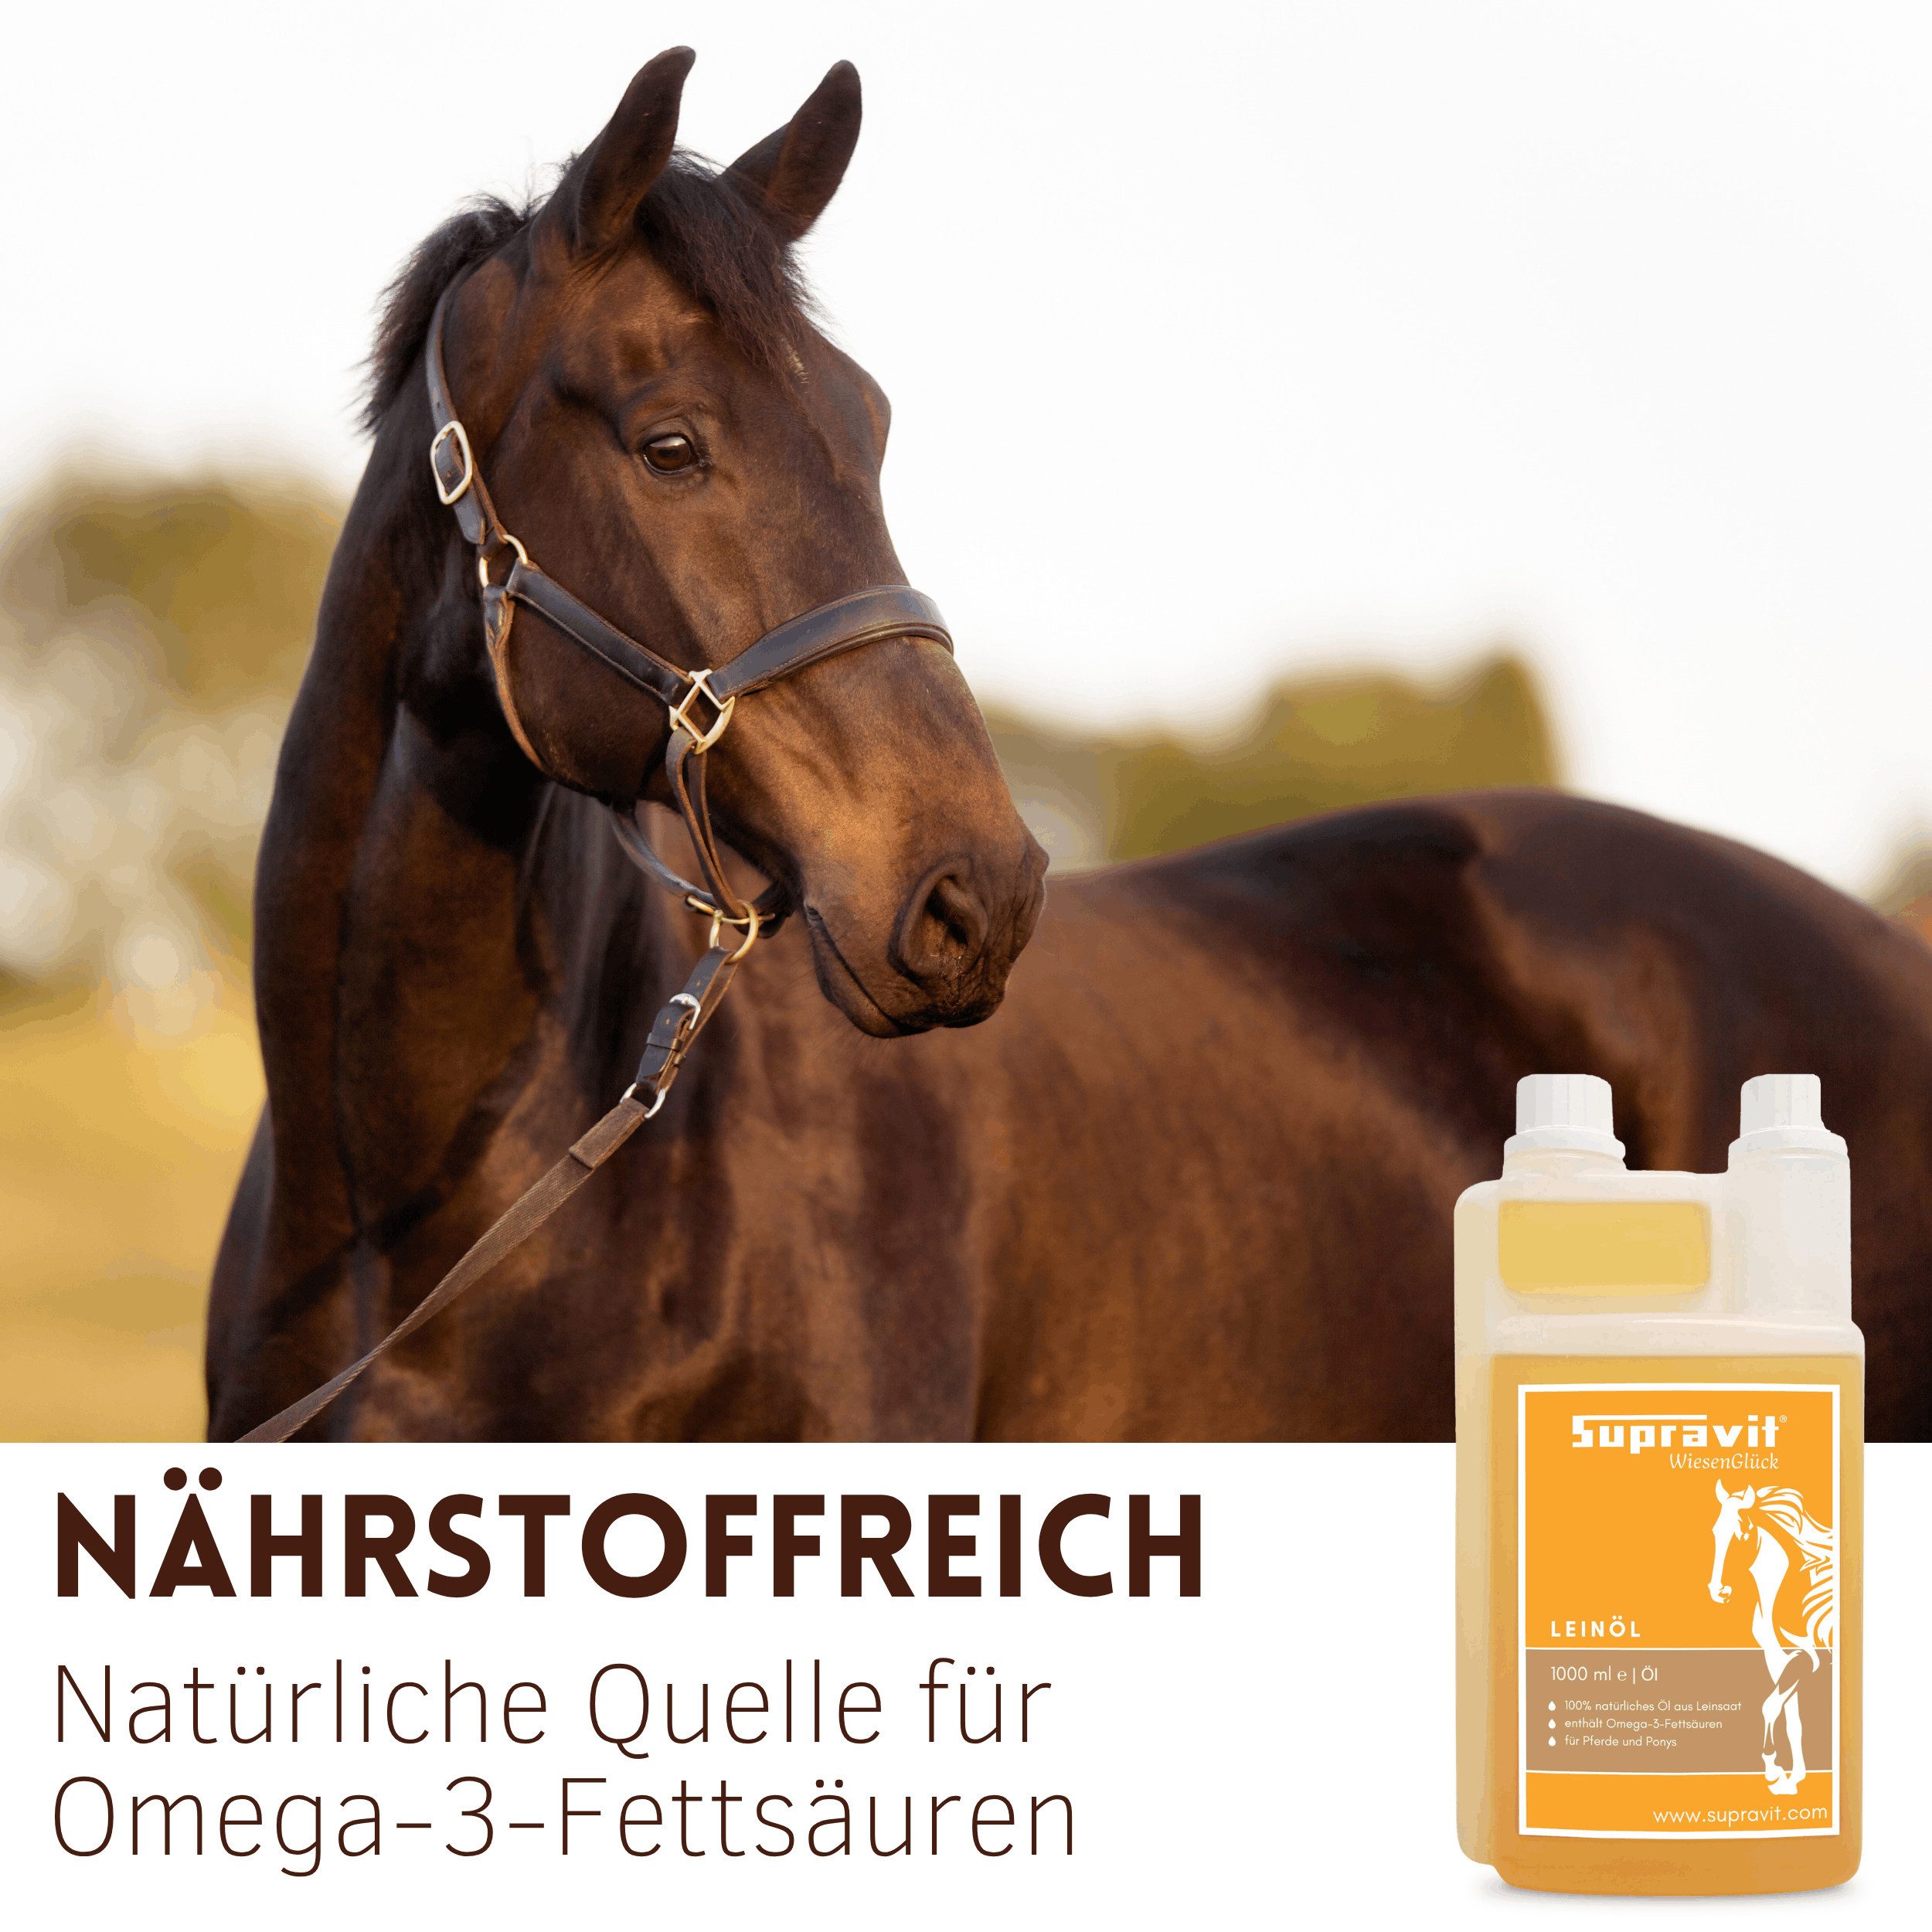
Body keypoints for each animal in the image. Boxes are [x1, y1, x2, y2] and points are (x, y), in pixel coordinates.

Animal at [1709, 1481, 1837, 1792]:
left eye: (1742, 1533)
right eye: (1715, 1531)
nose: (1718, 1591)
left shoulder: (1807, 1659)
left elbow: (1769, 1707)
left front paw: (1773, 1768)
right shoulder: (1780, 1661)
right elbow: (1792, 1721)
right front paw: (1794, 1776)